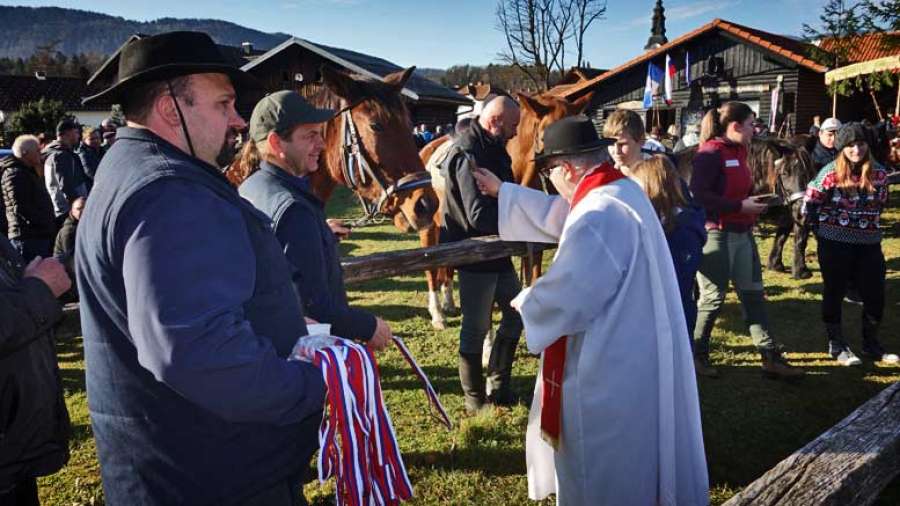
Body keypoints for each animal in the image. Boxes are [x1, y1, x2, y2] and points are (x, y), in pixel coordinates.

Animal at [418, 90, 596, 328]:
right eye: (545, 137)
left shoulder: (533, 242)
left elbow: (533, 277)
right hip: (429, 229)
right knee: (431, 269)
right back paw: (438, 314)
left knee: (447, 266)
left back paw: (449, 303)